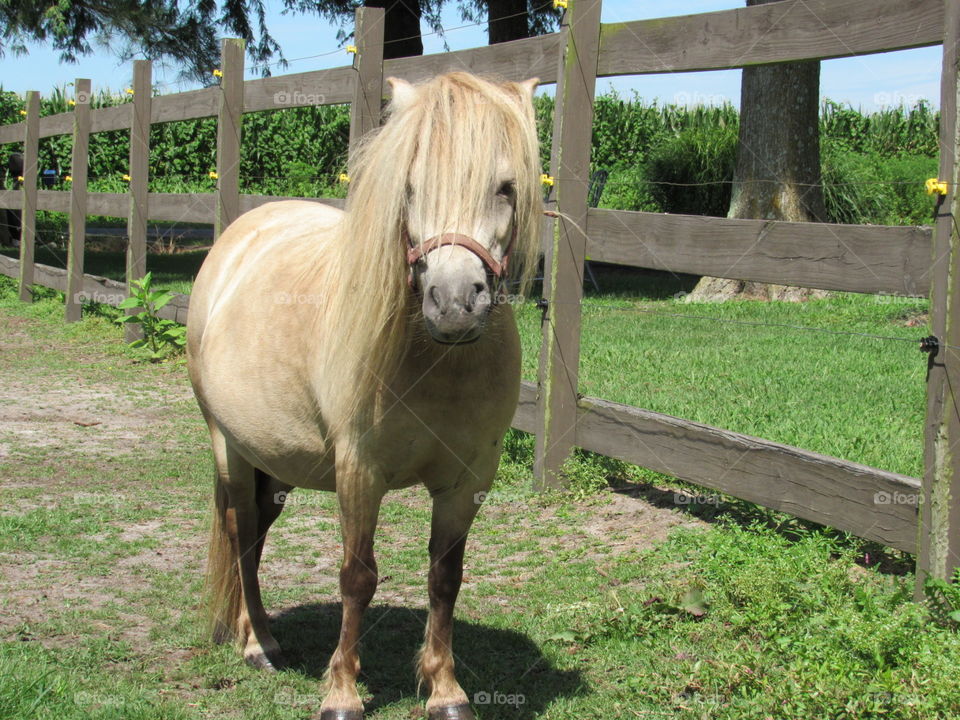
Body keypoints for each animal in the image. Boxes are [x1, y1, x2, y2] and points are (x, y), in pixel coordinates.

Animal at [186, 72, 543, 720]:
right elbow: (357, 576)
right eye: (410, 187)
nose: (455, 303)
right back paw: (258, 643)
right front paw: (343, 693)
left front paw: (445, 689)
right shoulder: (359, 471)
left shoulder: (468, 479)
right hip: (229, 445)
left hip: (275, 461)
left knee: (258, 529)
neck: (435, 361)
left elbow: (445, 576)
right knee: (242, 533)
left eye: (505, 188)